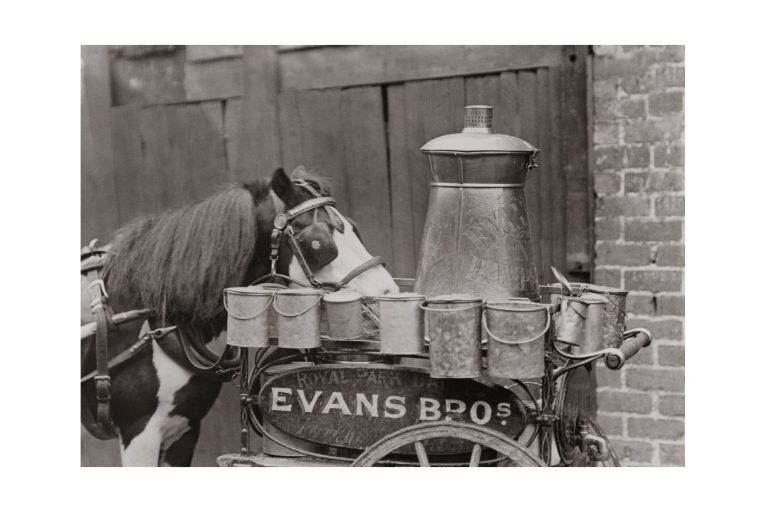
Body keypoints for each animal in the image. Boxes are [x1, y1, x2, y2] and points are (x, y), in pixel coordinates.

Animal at [81, 166, 400, 466]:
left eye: (354, 229)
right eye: (318, 244)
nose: (386, 295)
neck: (155, 316)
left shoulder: (184, 429)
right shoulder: (140, 433)